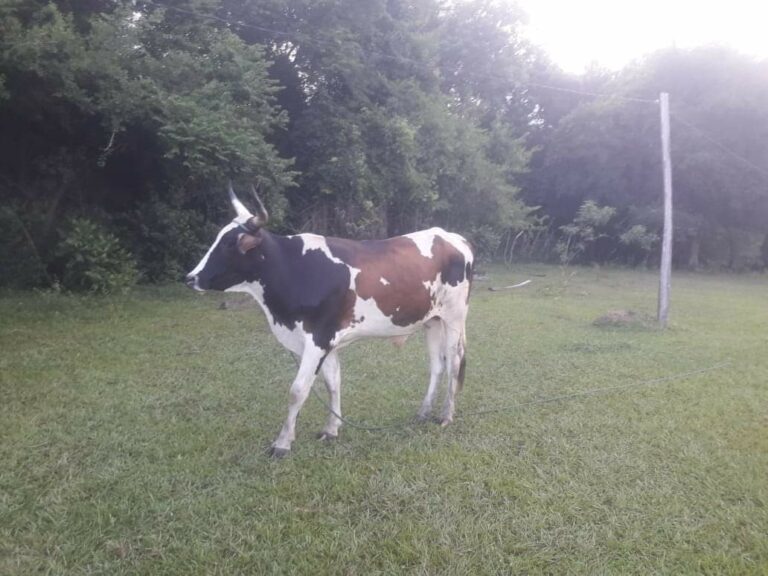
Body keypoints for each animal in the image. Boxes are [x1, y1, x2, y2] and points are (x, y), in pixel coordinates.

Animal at [185, 183, 474, 457]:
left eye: (230, 244)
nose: (191, 277)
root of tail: (453, 237)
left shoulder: (318, 338)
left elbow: (298, 390)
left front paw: (282, 443)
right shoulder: (328, 340)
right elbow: (332, 383)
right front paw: (331, 429)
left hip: (454, 317)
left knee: (454, 361)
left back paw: (446, 415)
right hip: (431, 320)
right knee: (437, 364)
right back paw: (423, 413)